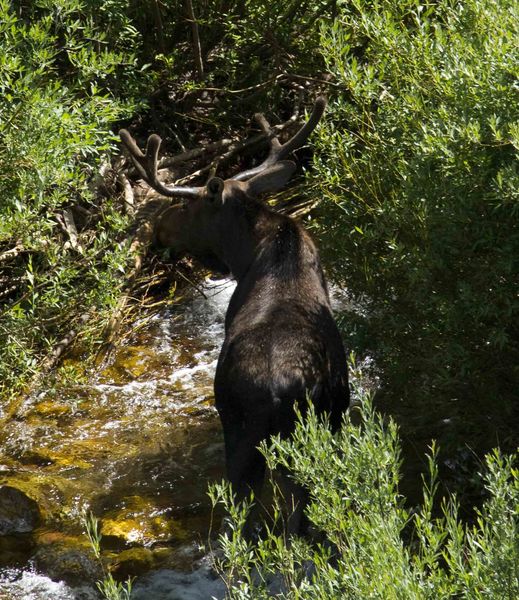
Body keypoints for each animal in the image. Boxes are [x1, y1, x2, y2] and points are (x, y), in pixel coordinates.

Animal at [120, 98, 352, 536]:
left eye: (187, 203)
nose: (158, 229)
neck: (249, 252)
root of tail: (278, 391)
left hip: (242, 431)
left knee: (250, 514)